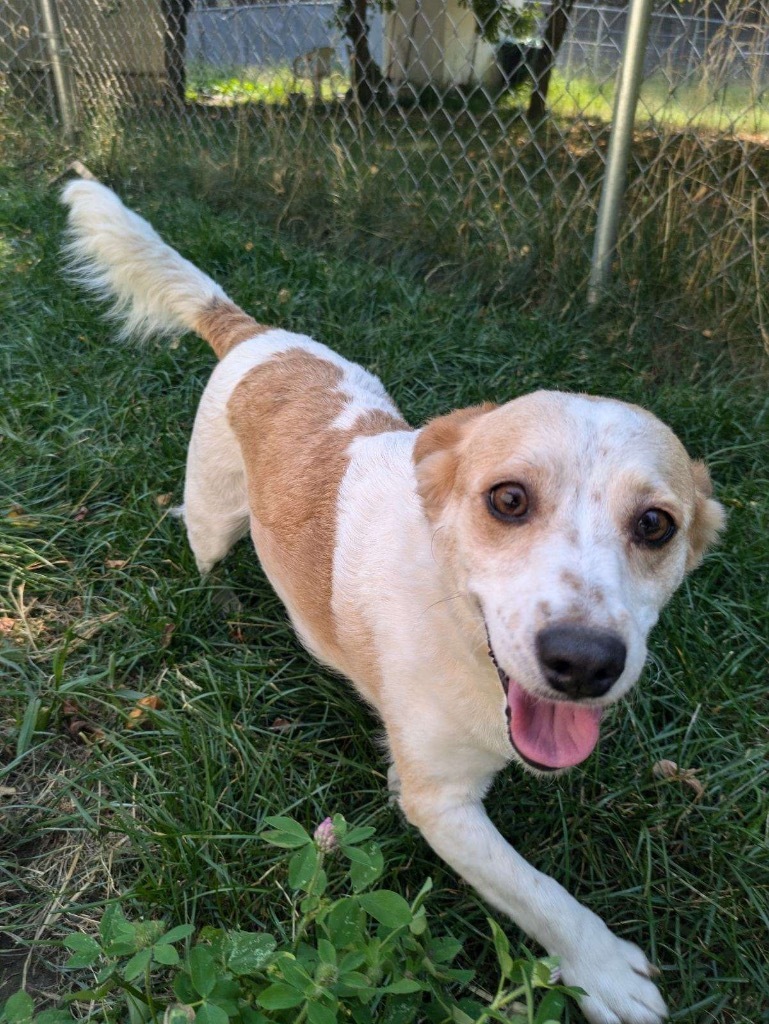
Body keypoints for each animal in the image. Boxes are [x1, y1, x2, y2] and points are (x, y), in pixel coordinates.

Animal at [63, 182, 724, 1024]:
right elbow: (539, 892)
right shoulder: (439, 803)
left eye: (655, 525)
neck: (455, 622)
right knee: (203, 541)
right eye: (507, 499)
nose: (583, 662)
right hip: (213, 524)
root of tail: (255, 334)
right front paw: (602, 969)